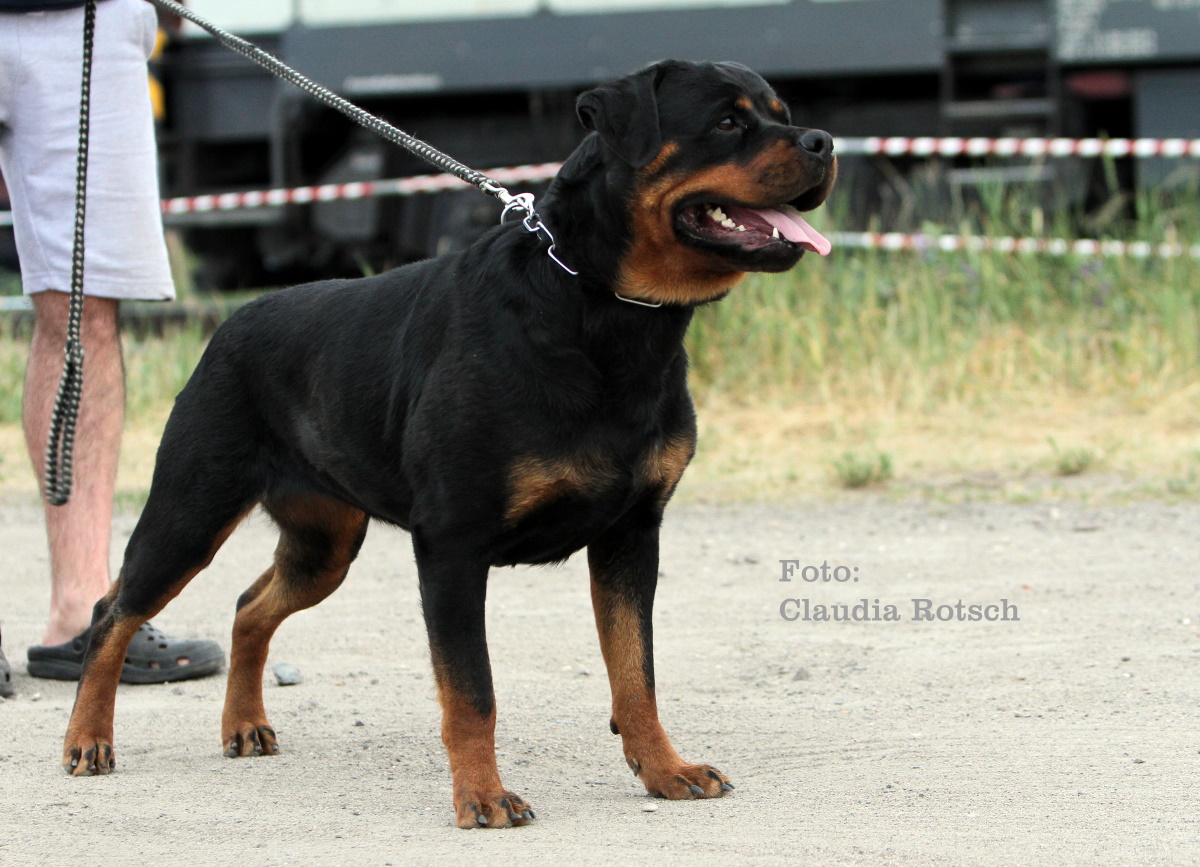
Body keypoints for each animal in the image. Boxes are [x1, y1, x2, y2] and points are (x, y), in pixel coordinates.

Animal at [62, 59, 836, 828]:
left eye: (782, 112)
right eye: (727, 122)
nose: (824, 140)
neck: (600, 309)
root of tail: (229, 323)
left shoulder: (631, 534)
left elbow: (635, 671)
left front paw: (665, 769)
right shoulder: (453, 544)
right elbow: (472, 691)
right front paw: (482, 796)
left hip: (325, 543)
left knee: (250, 607)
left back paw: (244, 725)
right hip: (191, 509)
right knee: (113, 613)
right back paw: (88, 739)